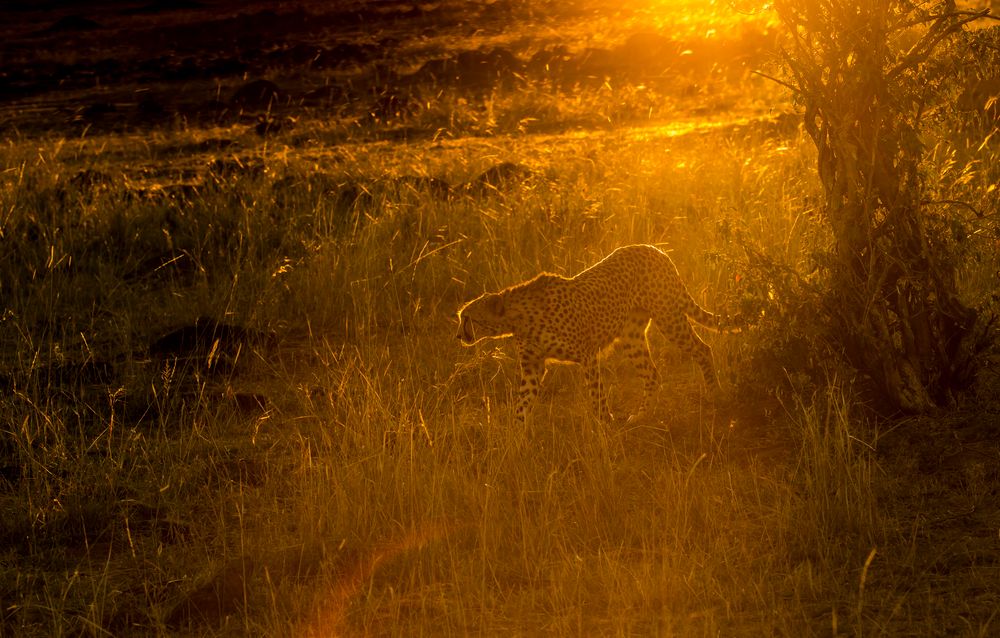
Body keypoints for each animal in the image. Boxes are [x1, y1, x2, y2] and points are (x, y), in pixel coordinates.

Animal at [458, 245, 740, 424]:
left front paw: (605, 424)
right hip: (631, 337)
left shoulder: (587, 355)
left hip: (669, 317)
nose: (459, 336)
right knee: (652, 374)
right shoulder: (532, 367)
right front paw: (516, 441)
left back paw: (714, 394)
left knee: (703, 349)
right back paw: (642, 415)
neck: (518, 319)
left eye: (467, 318)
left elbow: (596, 395)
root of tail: (654, 249)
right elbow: (522, 405)